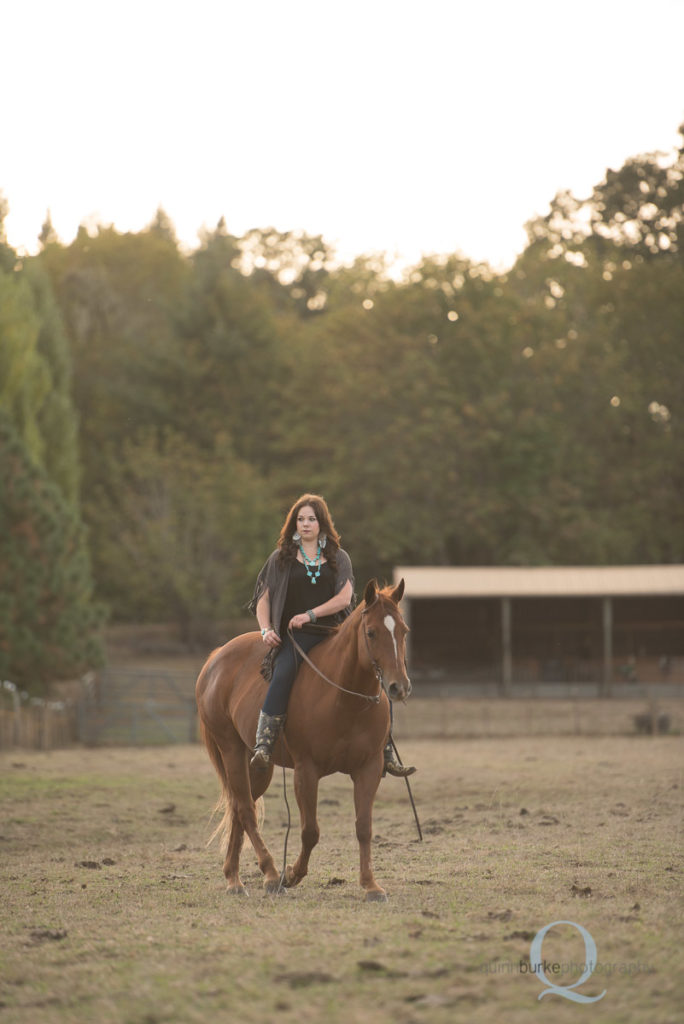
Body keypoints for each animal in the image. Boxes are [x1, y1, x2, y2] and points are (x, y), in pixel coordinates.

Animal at [196, 581, 411, 901]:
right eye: (371, 632)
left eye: (404, 631)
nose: (399, 687)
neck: (344, 698)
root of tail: (217, 657)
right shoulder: (306, 771)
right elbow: (310, 830)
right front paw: (292, 875)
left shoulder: (369, 769)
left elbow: (364, 827)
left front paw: (371, 885)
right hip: (231, 749)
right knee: (246, 810)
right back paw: (271, 874)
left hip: (258, 764)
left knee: (238, 807)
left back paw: (234, 879)